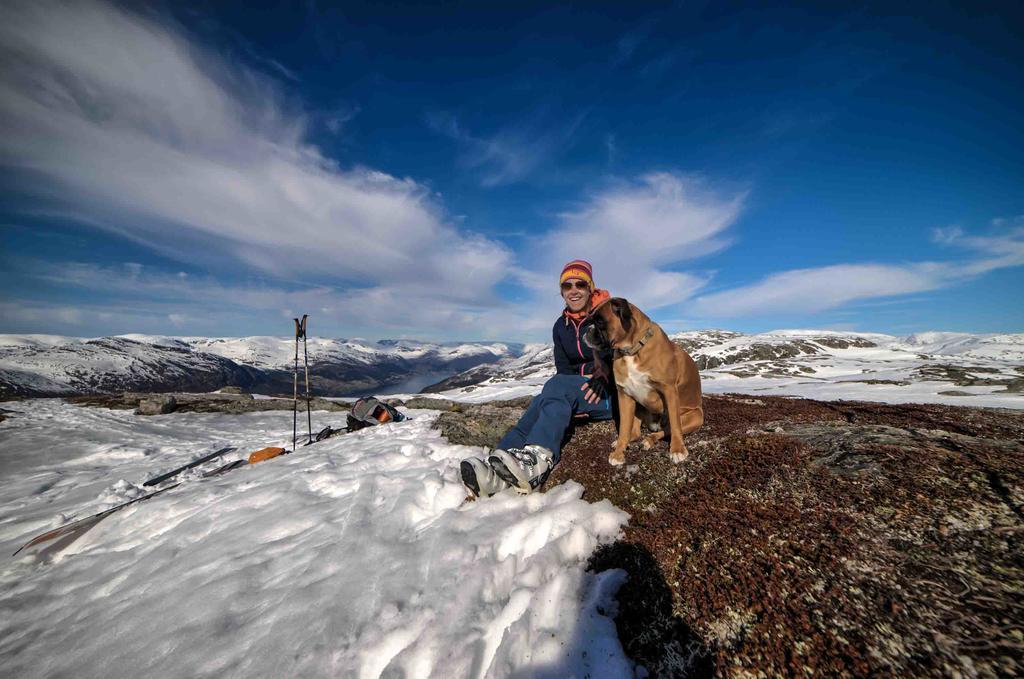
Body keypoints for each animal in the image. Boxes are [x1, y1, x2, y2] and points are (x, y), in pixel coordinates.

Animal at [585, 299, 704, 464]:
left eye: (600, 321)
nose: (586, 331)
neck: (632, 351)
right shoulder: (625, 396)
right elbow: (624, 429)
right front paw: (618, 453)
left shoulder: (669, 390)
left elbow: (675, 426)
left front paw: (678, 449)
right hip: (638, 406)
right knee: (635, 433)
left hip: (695, 417)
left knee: (665, 430)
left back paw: (649, 440)